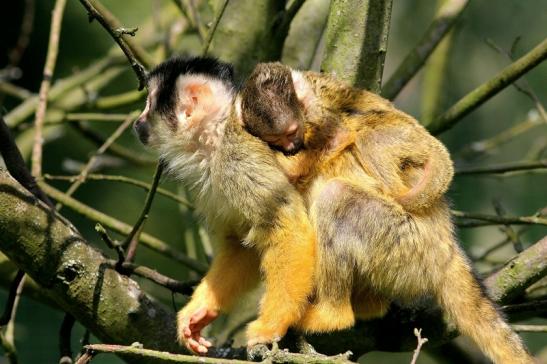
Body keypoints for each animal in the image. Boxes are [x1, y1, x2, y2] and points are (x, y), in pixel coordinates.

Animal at [133, 57, 318, 356]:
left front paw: (270, 326)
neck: (217, 137)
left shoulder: (239, 160)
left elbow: (288, 228)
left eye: (149, 104)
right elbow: (241, 246)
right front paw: (199, 312)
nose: (138, 122)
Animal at [237, 62, 536, 364]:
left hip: (405, 243)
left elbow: (338, 136)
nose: (290, 147)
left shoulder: (319, 115)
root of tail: (446, 246)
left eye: (291, 133)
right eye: (277, 139)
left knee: (342, 188)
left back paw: (333, 314)